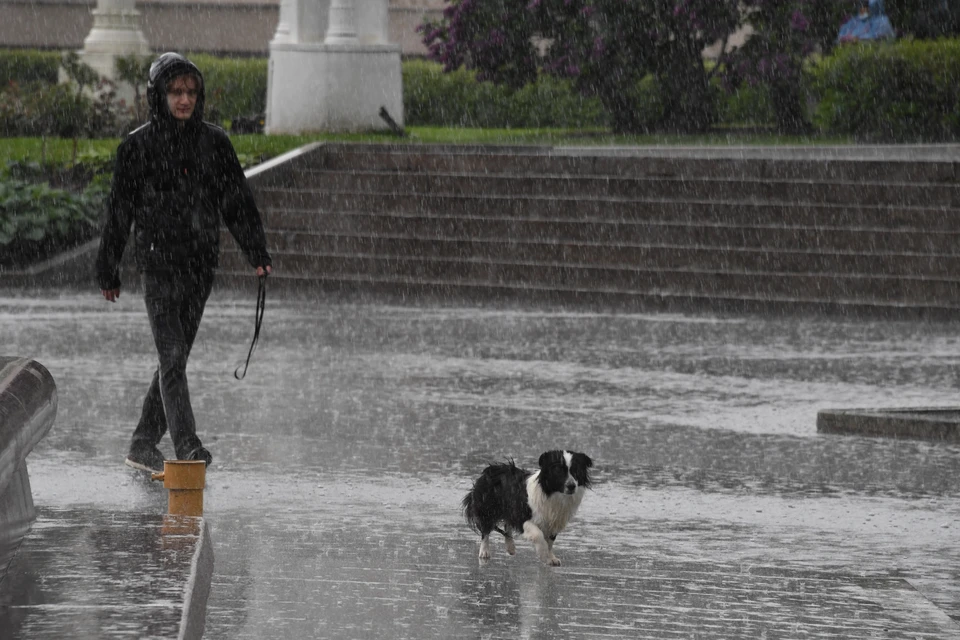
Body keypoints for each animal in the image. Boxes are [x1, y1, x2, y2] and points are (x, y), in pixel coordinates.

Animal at [464, 450, 592, 564]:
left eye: (576, 471)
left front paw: (551, 558)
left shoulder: (554, 521)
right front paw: (543, 554)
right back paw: (484, 552)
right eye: (558, 471)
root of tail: (489, 470)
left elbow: (550, 541)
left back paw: (510, 547)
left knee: (507, 524)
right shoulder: (522, 516)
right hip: (487, 507)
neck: (552, 494)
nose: (572, 486)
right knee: (485, 530)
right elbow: (538, 535)